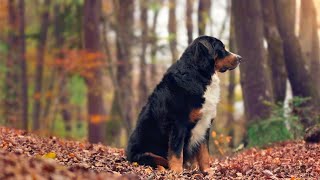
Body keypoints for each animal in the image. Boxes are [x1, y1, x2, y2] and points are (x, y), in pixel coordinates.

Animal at [126, 35, 241, 173]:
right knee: (158, 162)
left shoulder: (205, 124)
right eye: (222, 48)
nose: (240, 58)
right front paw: (177, 172)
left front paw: (207, 171)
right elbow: (176, 153)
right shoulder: (178, 124)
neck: (199, 74)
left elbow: (204, 153)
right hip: (146, 154)